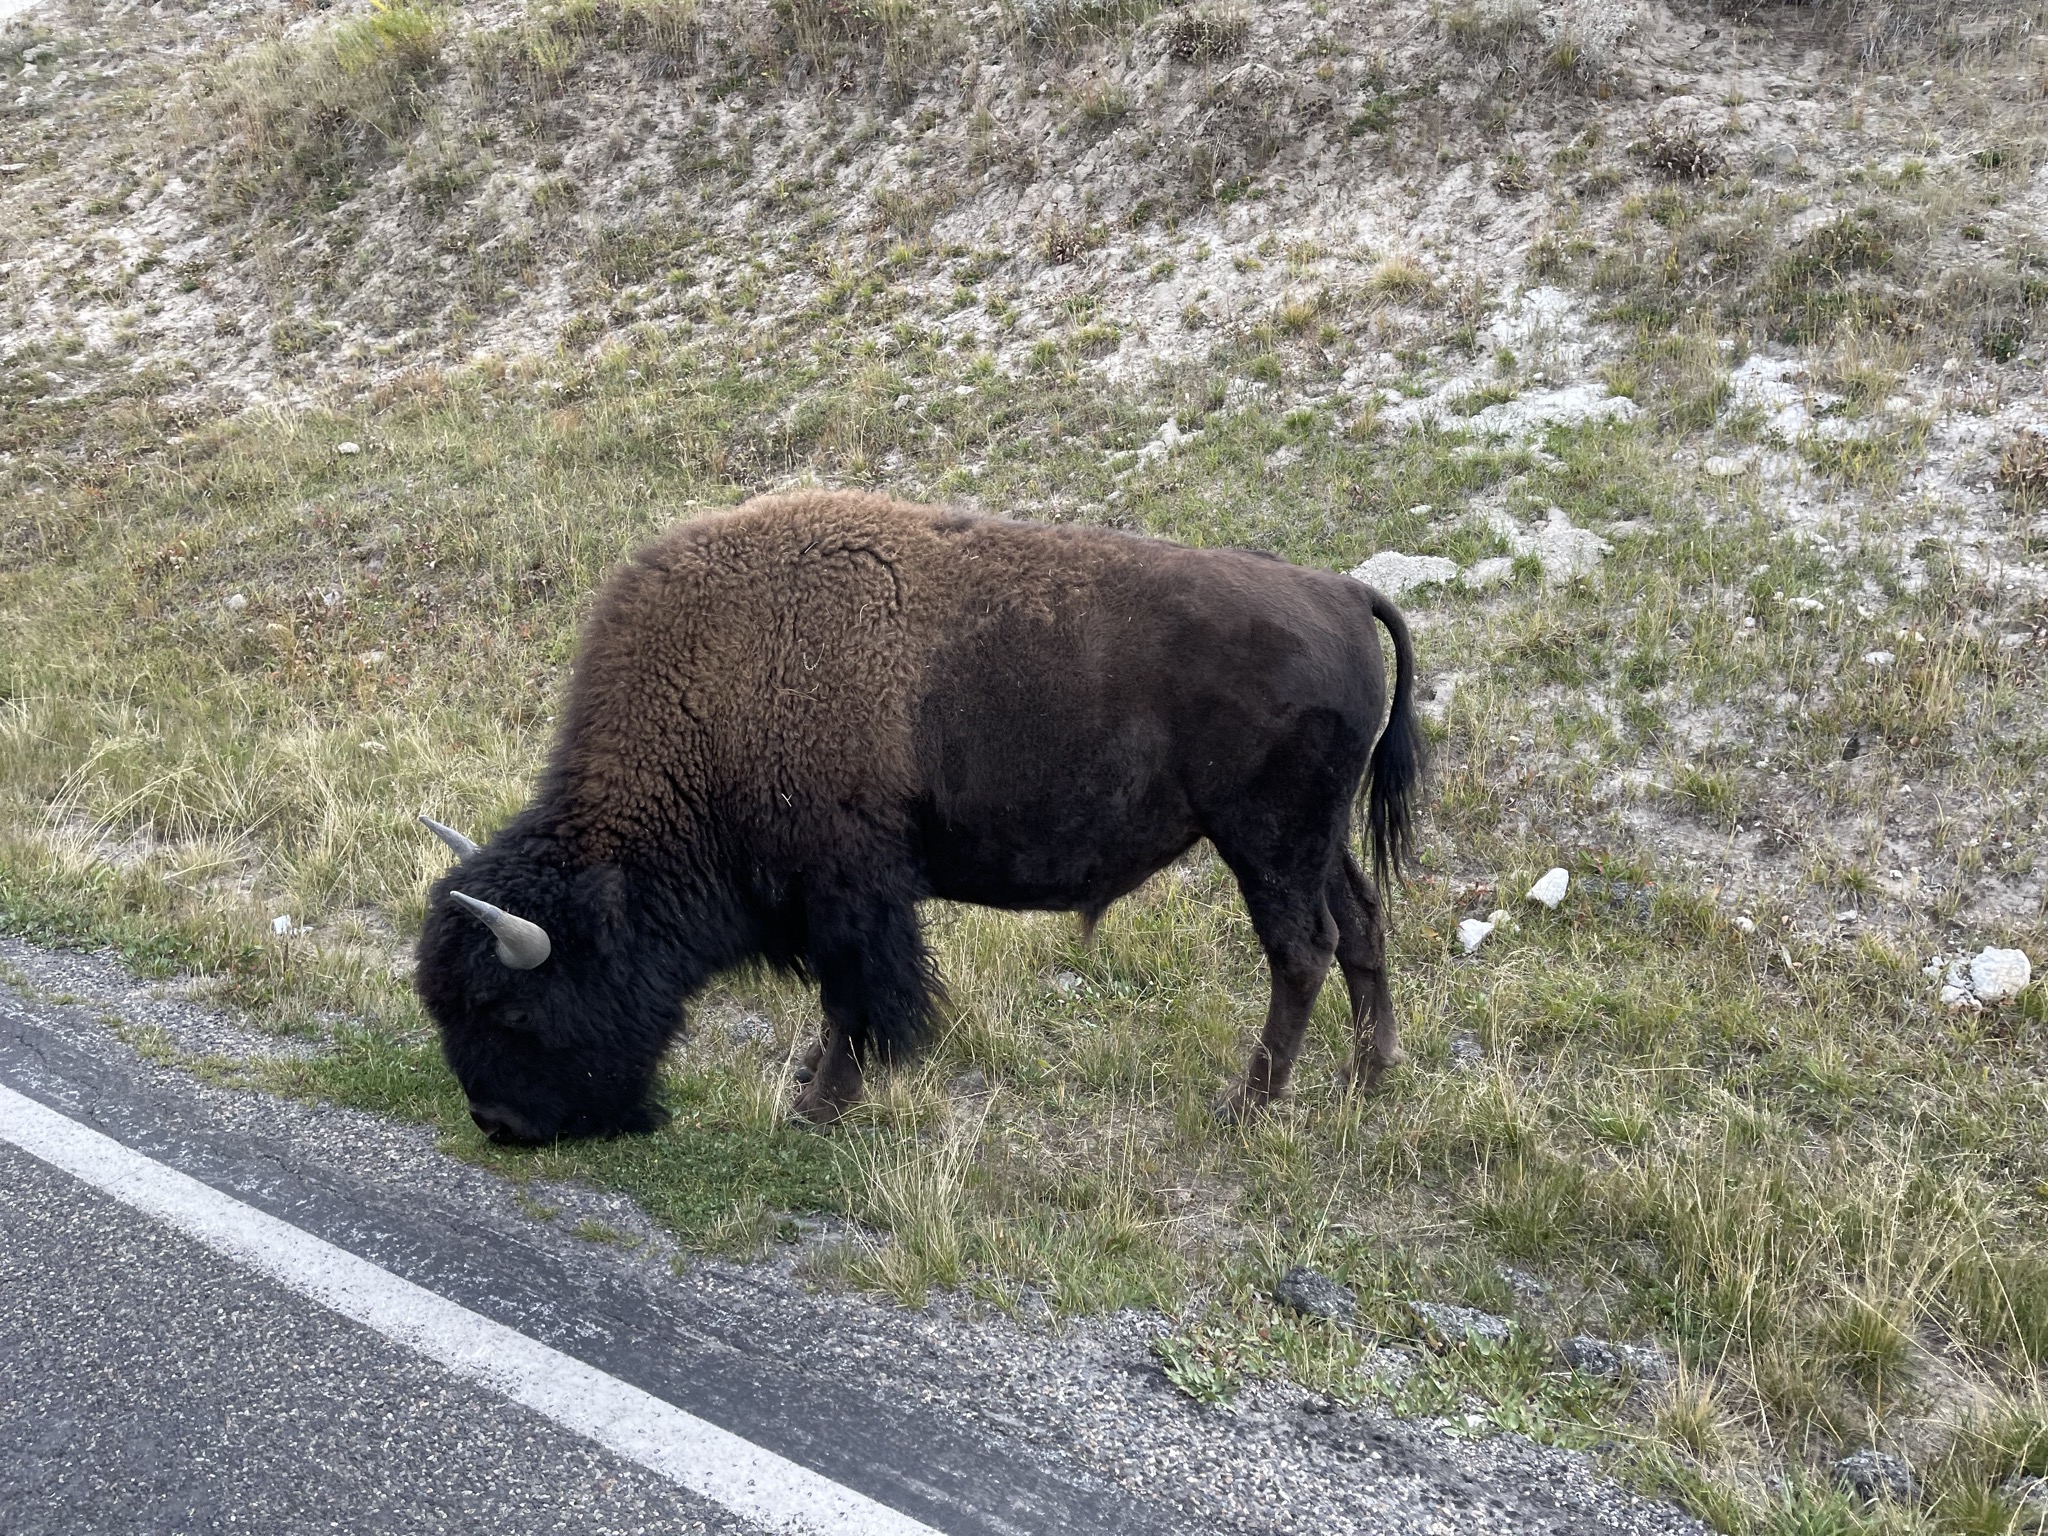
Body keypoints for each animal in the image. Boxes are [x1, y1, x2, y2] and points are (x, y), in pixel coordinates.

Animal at [414, 490, 1423, 1141]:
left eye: (513, 1009)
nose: (498, 1123)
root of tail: (1343, 591)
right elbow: (843, 1001)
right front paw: (810, 1087)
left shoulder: (852, 894)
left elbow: (860, 999)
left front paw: (819, 1109)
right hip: (1314, 839)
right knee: (1361, 925)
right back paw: (1363, 1079)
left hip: (1265, 840)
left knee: (1302, 950)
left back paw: (1247, 1107)